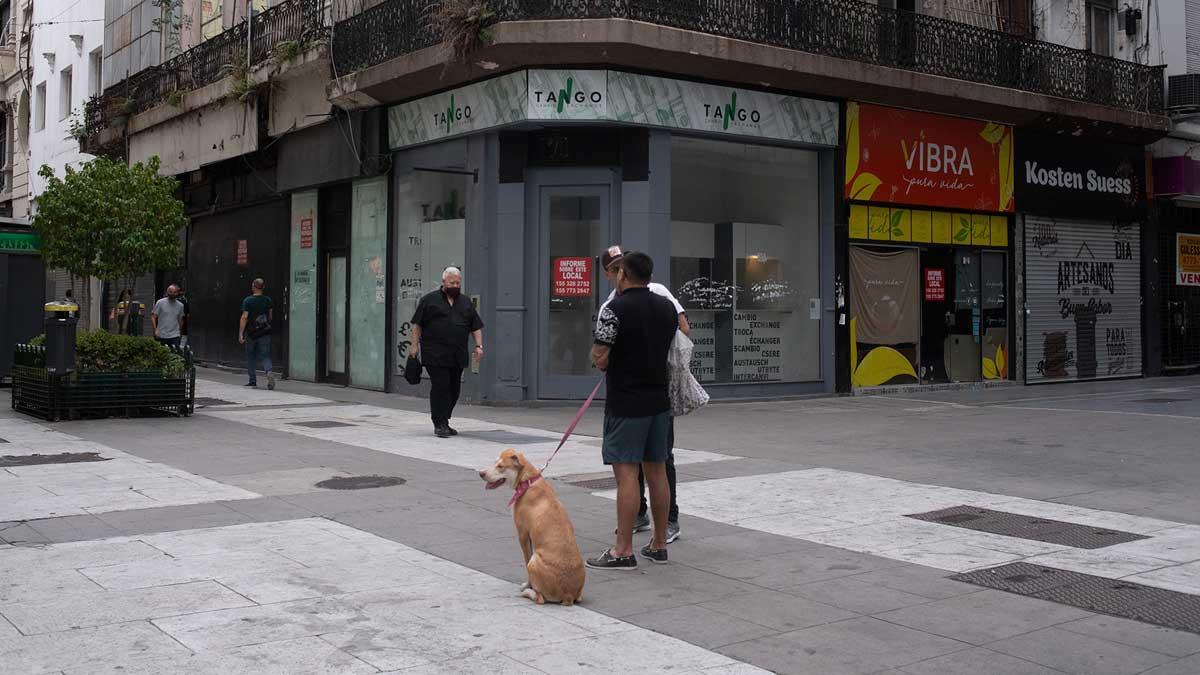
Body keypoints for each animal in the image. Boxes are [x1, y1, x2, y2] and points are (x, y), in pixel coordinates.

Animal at [480, 446, 588, 605]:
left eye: (500, 466)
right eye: (495, 462)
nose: (480, 473)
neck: (527, 481)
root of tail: (567, 595)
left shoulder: (523, 534)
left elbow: (525, 560)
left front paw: (527, 585)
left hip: (534, 561)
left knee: (540, 599)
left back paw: (527, 592)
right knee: (578, 597)